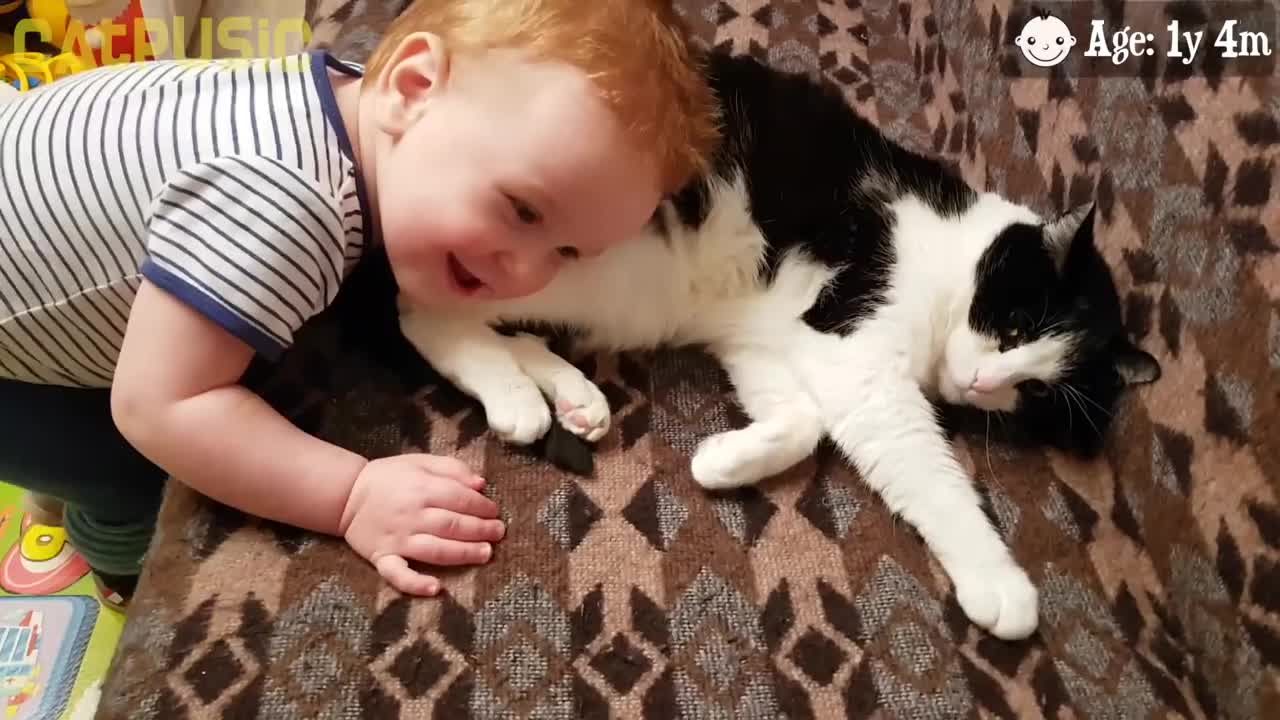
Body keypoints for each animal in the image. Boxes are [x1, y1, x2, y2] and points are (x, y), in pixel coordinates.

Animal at [396, 50, 1162, 635]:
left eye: (1034, 391)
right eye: (1014, 327)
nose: (982, 385)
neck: (951, 252)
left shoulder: (769, 339)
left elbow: (803, 422)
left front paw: (727, 461)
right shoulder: (855, 347)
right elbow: (927, 471)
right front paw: (998, 581)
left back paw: (570, 393)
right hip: (554, 264)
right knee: (417, 308)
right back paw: (514, 396)